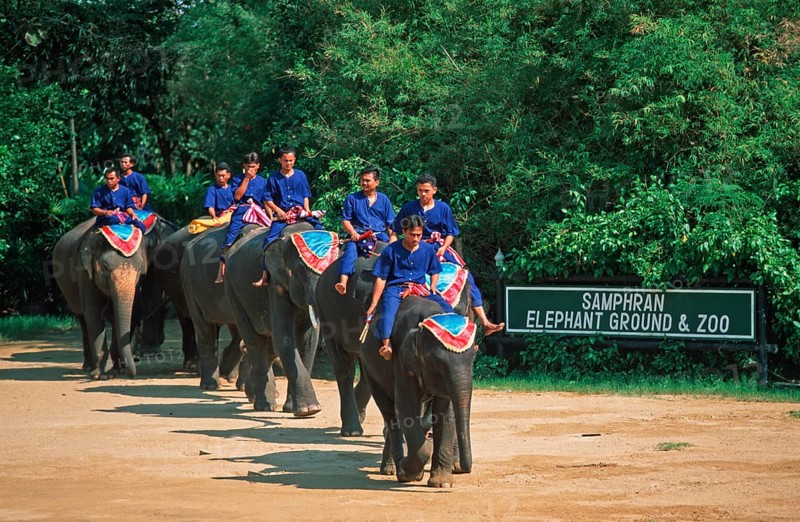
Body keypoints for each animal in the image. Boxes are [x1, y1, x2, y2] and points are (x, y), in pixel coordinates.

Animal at [52, 215, 175, 378]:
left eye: (140, 270)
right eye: (105, 267)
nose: (131, 372)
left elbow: (133, 312)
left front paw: (114, 371)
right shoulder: (83, 272)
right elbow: (93, 314)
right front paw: (102, 375)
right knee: (82, 318)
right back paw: (88, 367)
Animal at [224, 222, 329, 415]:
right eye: (301, 270)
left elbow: (308, 340)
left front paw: (293, 409)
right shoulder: (274, 283)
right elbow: (284, 338)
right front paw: (309, 410)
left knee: (268, 346)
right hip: (233, 292)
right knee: (254, 342)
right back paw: (263, 405)